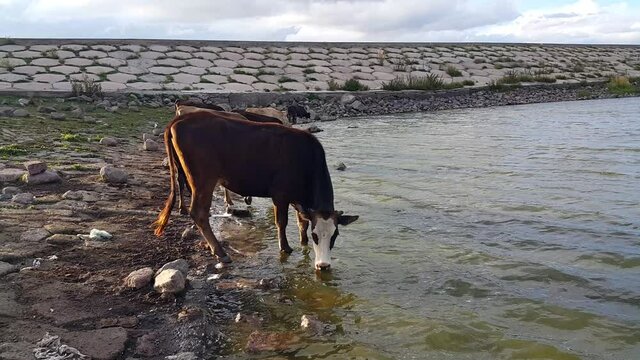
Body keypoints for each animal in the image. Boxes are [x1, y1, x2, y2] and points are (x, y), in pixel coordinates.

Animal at [152, 109, 358, 270]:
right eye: (316, 236)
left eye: (335, 235)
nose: (323, 266)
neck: (307, 160)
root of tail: (181, 119)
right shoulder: (280, 195)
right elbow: (281, 222)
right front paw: (285, 248)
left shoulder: (298, 199)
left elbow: (302, 222)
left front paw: (303, 243)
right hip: (203, 180)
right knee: (199, 213)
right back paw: (221, 252)